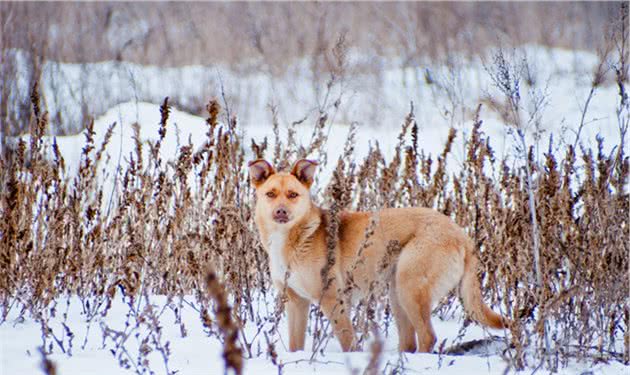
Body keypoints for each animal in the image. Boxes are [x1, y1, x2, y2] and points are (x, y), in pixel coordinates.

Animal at [249, 160, 512, 354]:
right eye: (270, 194)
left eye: (293, 195)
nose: (280, 211)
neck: (294, 237)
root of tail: (461, 234)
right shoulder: (296, 302)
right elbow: (296, 345)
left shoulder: (333, 300)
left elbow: (348, 342)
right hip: (398, 294)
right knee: (410, 342)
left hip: (409, 288)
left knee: (428, 337)